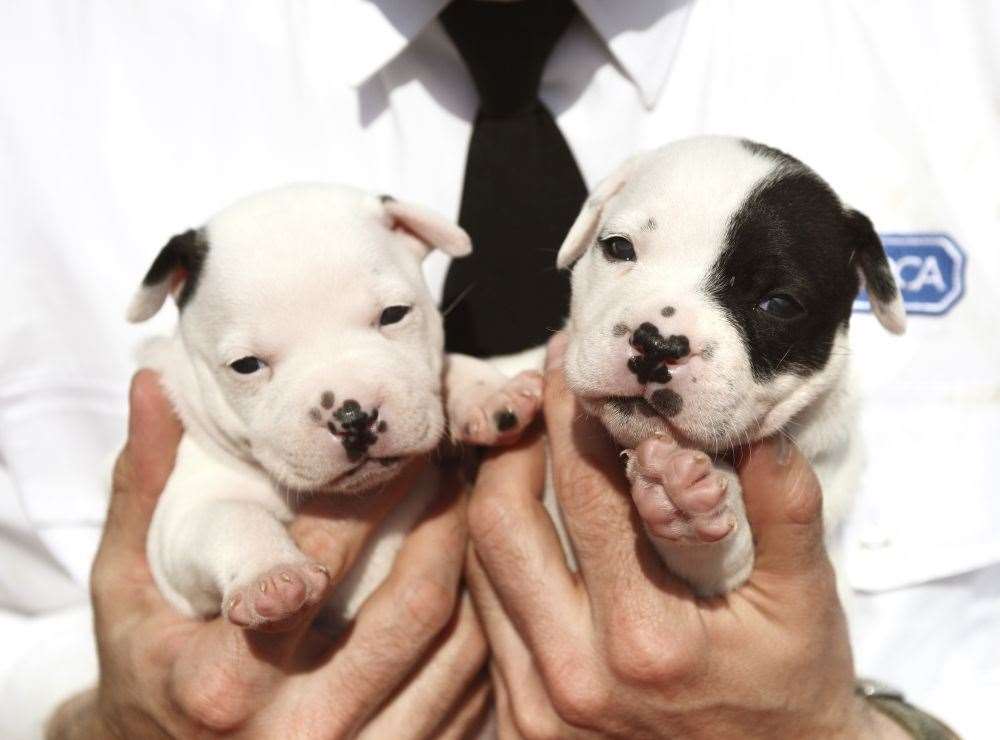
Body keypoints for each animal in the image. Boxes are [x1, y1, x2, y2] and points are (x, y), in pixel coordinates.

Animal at [128, 186, 532, 632]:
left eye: (394, 315)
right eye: (246, 365)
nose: (353, 417)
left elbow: (444, 371)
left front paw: (488, 393)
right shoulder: (184, 516)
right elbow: (231, 518)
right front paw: (272, 576)